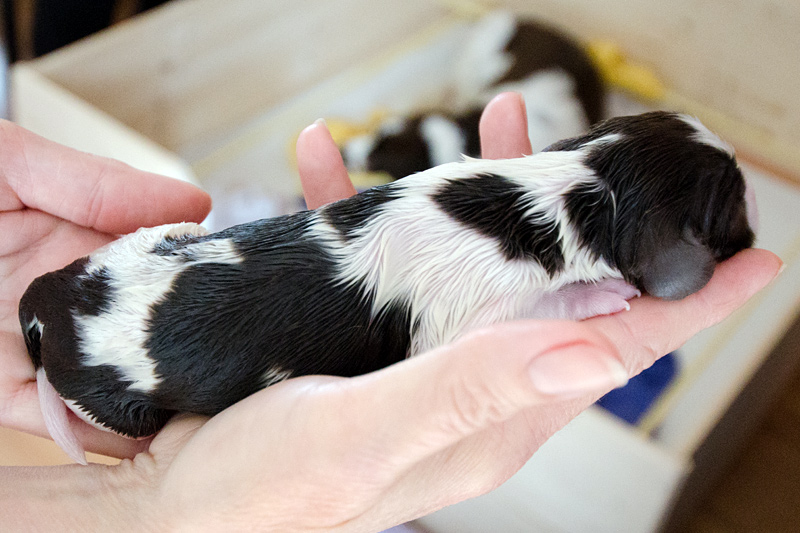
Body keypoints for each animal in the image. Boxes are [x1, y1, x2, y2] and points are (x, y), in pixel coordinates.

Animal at [20, 111, 756, 462]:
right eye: (732, 200)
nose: (756, 227)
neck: (569, 190)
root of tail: (47, 302)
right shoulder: (458, 322)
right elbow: (539, 305)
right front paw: (598, 295)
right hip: (114, 404)